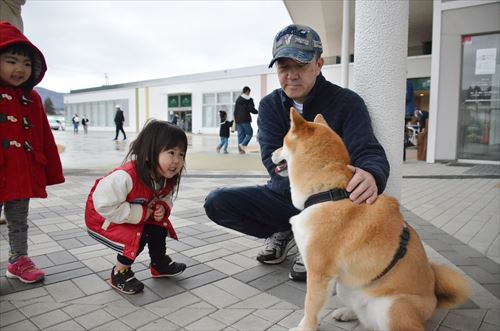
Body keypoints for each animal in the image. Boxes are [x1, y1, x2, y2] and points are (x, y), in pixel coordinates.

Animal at [274, 109, 468, 331]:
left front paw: (304, 327)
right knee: (362, 313)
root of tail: (434, 301)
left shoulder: (318, 273)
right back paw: (347, 312)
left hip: (393, 307)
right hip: (347, 287)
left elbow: (310, 306)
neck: (330, 192)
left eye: (283, 142)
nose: (271, 153)